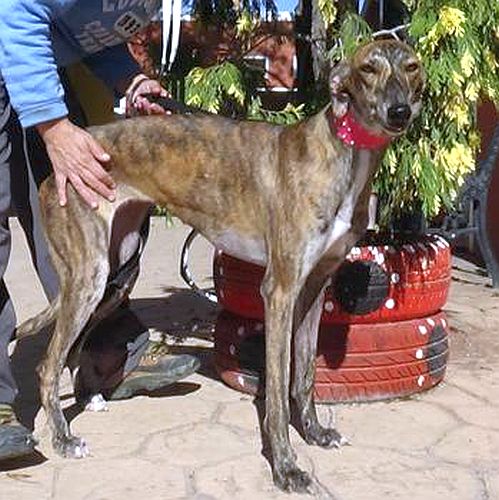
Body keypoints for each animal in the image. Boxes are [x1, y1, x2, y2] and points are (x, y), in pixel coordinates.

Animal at [19, 39, 424, 492]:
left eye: (412, 67)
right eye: (369, 68)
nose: (399, 112)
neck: (344, 153)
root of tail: (56, 170)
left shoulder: (315, 287)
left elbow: (304, 375)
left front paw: (316, 433)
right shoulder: (279, 290)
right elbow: (278, 389)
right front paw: (286, 468)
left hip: (117, 273)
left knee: (73, 349)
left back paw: (89, 401)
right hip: (89, 277)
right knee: (47, 364)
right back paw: (63, 438)